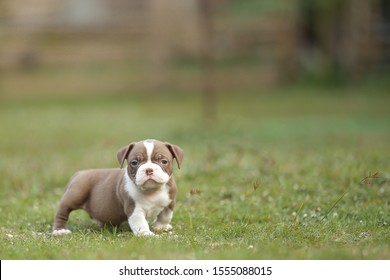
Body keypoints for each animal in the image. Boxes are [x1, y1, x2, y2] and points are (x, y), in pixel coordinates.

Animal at [52, 140, 184, 236]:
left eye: (164, 161)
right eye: (134, 162)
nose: (149, 169)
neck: (152, 191)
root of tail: (79, 173)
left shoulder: (170, 202)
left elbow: (165, 216)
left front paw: (160, 227)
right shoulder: (134, 209)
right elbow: (140, 223)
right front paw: (147, 234)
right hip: (74, 195)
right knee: (62, 211)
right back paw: (60, 230)